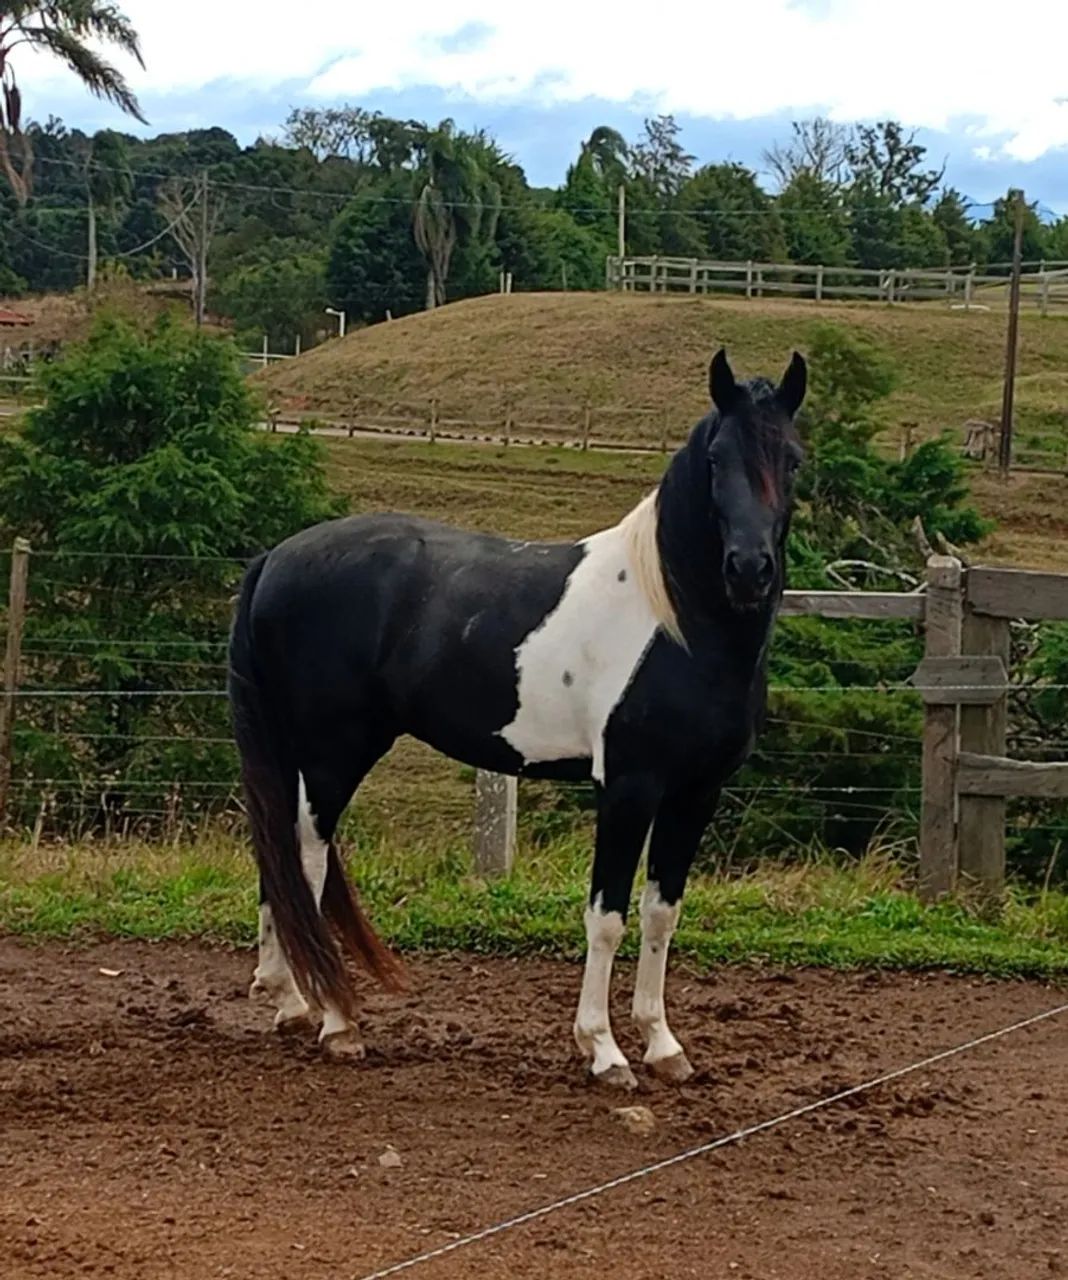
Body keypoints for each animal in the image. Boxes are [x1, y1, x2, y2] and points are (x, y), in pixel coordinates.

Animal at [228, 347, 807, 1088]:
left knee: (278, 857)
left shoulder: (696, 792)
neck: (675, 622)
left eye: (792, 458)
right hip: (333, 754)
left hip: (300, 753)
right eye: (716, 459)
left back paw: (290, 1000)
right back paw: (337, 1024)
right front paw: (604, 1051)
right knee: (306, 861)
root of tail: (275, 558)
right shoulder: (628, 788)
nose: (749, 569)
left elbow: (661, 914)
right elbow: (606, 918)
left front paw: (662, 1044)